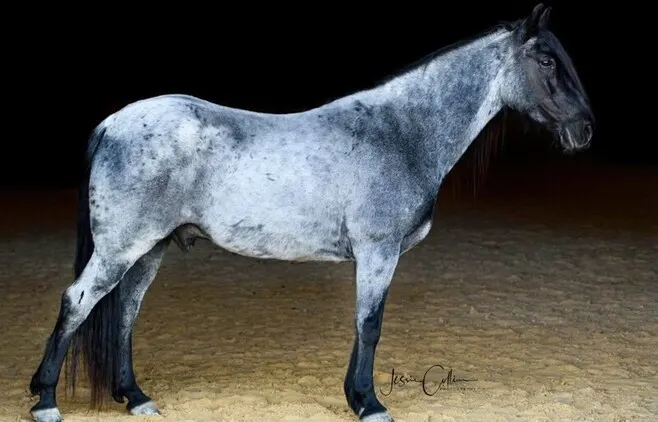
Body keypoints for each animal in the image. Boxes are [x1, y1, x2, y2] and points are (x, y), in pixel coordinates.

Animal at [28, 4, 594, 421]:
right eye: (547, 61)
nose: (585, 129)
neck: (401, 133)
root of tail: (112, 123)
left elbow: (364, 324)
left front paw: (356, 397)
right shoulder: (378, 252)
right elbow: (370, 324)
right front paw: (369, 404)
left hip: (149, 249)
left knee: (125, 312)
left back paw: (137, 398)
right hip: (122, 247)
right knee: (78, 301)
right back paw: (46, 401)